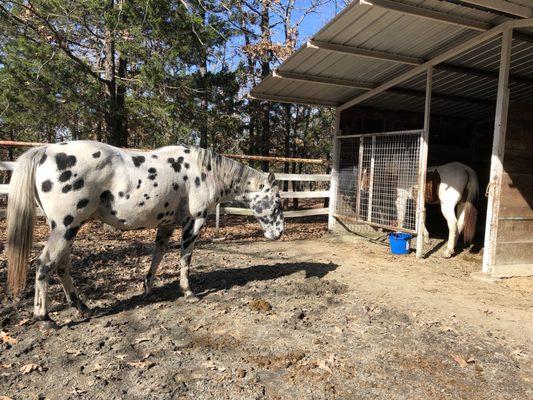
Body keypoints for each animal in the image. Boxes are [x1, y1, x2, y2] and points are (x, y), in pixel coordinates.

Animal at [7, 141, 282, 324]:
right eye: (278, 202)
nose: (278, 234)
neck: (205, 171)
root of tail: (45, 151)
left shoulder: (166, 225)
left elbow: (158, 255)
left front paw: (147, 287)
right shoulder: (194, 222)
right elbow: (185, 259)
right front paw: (188, 292)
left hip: (67, 231)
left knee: (61, 267)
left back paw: (82, 307)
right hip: (65, 228)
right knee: (45, 265)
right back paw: (45, 318)